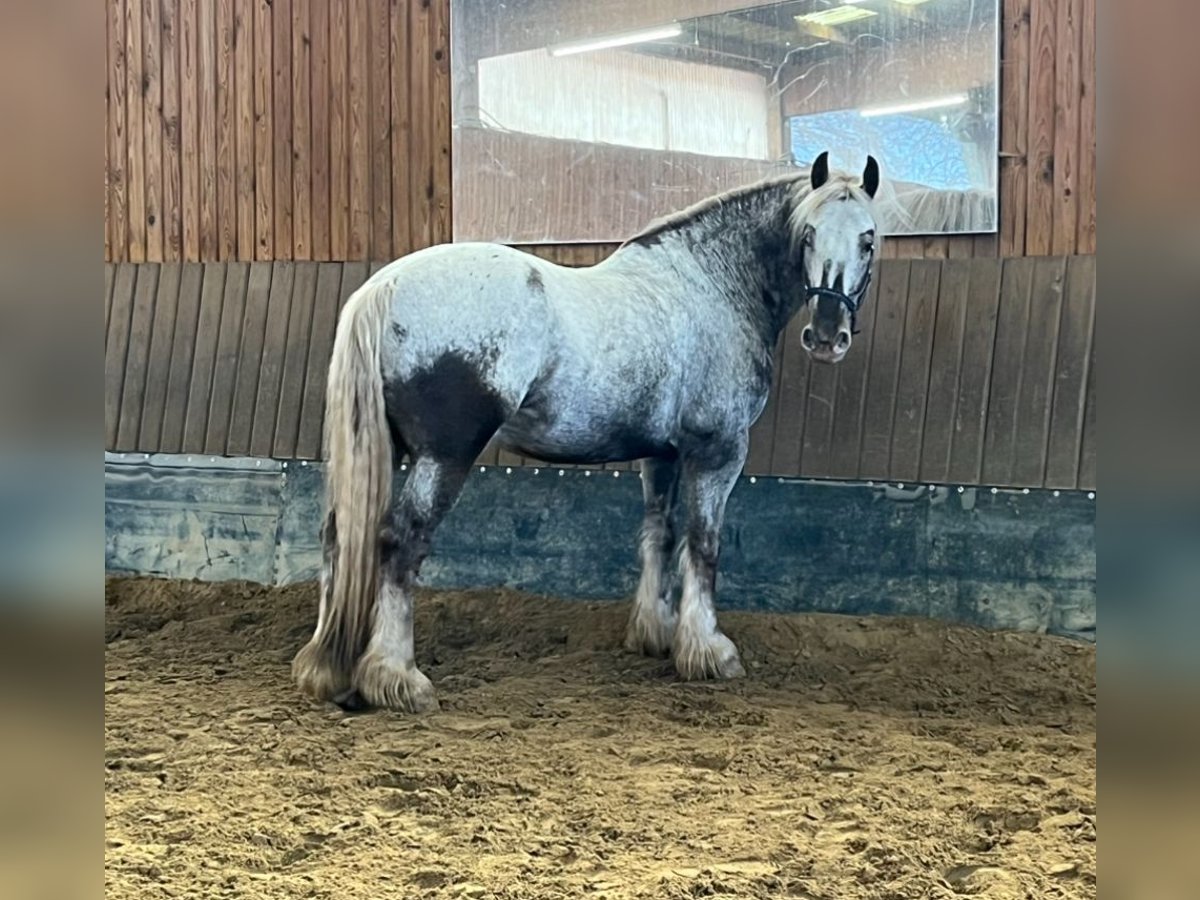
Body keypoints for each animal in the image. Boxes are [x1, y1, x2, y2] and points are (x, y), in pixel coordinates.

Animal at [295, 157, 883, 720]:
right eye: (808, 234)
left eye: (868, 238)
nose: (827, 336)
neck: (709, 285)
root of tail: (385, 286)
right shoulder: (717, 451)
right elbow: (703, 542)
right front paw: (709, 651)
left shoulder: (663, 456)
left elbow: (660, 533)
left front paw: (655, 634)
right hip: (444, 457)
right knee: (401, 541)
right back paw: (398, 678)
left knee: (339, 536)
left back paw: (328, 669)